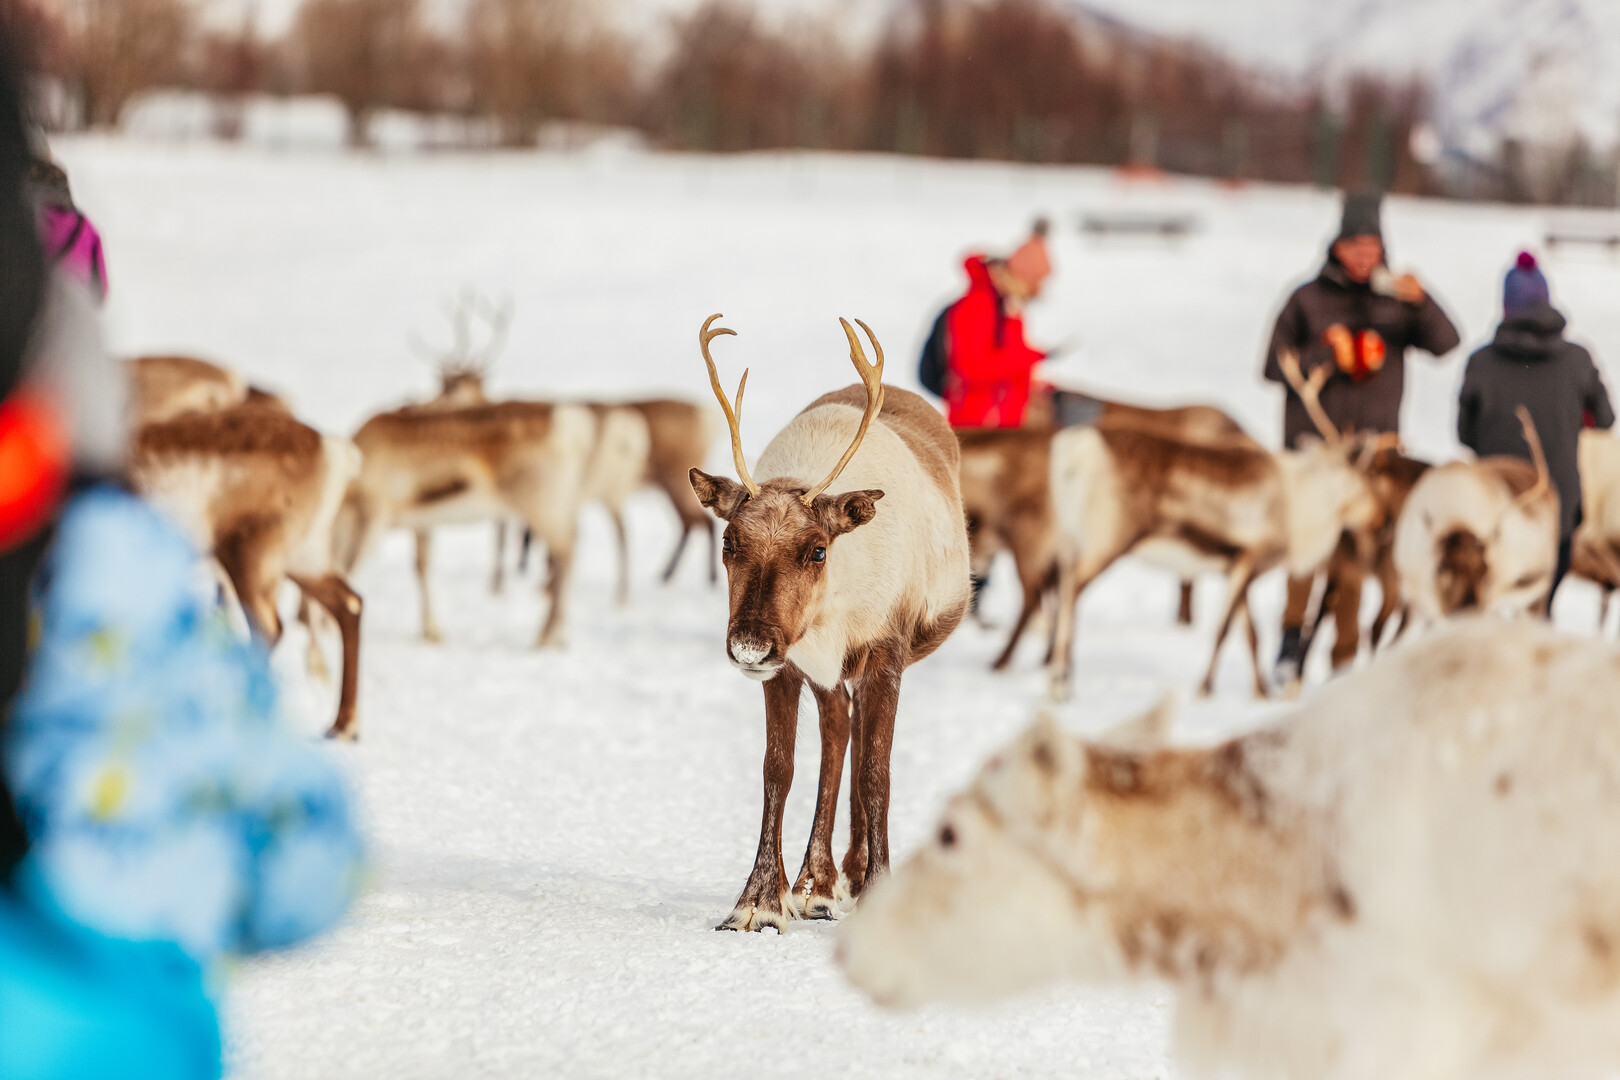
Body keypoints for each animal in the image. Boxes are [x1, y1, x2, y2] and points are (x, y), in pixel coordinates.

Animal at [130, 401, 365, 739]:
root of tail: (332, 450)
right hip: (304, 555)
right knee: (349, 604)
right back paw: (343, 724)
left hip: (249, 554)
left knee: (269, 629)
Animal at [688, 314, 970, 933]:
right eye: (729, 540)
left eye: (817, 549)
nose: (749, 645)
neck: (829, 617)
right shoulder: (789, 666)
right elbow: (779, 768)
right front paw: (759, 902)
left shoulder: (885, 651)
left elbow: (876, 774)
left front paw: (875, 890)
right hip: (825, 675)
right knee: (839, 733)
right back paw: (817, 883)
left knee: (858, 743)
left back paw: (848, 877)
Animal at [1045, 354, 1383, 702]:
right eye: (1365, 480)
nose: (1379, 517)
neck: (1301, 507)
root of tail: (1075, 450)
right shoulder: (1249, 556)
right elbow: (1223, 629)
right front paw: (1204, 689)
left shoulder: (1236, 566)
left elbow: (1251, 633)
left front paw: (1261, 693)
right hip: (1109, 539)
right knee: (1071, 589)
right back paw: (1059, 682)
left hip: (1072, 539)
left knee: (1062, 588)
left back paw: (1064, 677)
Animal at [1392, 408, 1558, 625]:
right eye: (1440, 567)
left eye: (1487, 572)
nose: (1467, 616)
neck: (1458, 519)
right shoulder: (1413, 599)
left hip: (1537, 593)